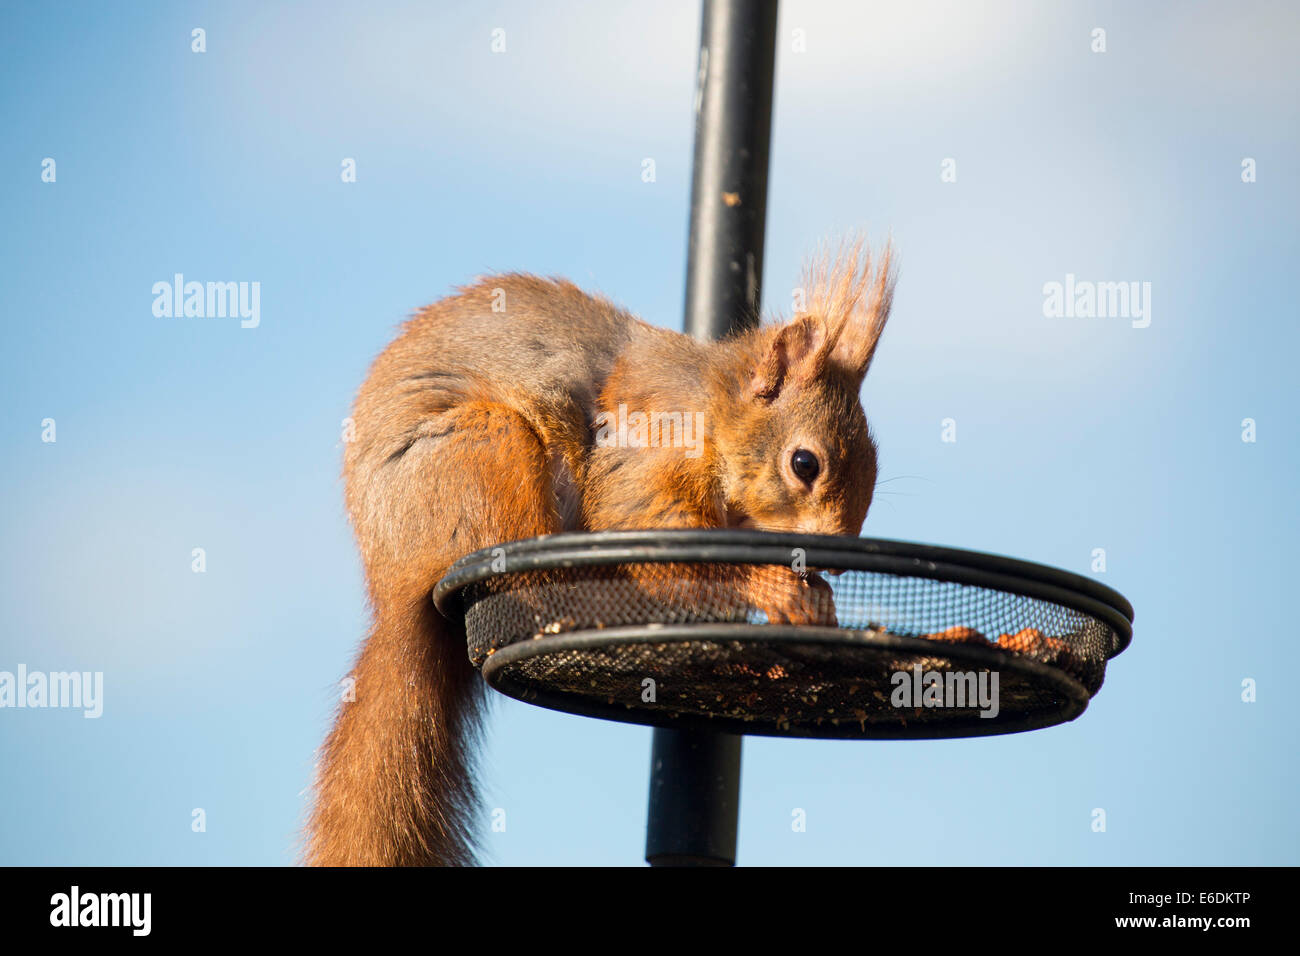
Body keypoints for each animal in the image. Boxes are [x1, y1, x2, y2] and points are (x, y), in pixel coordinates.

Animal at [305, 238, 896, 866]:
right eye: (805, 463)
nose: (835, 558)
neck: (713, 407)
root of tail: (391, 578)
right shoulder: (645, 458)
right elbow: (651, 536)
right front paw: (779, 587)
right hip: (488, 450)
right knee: (535, 588)